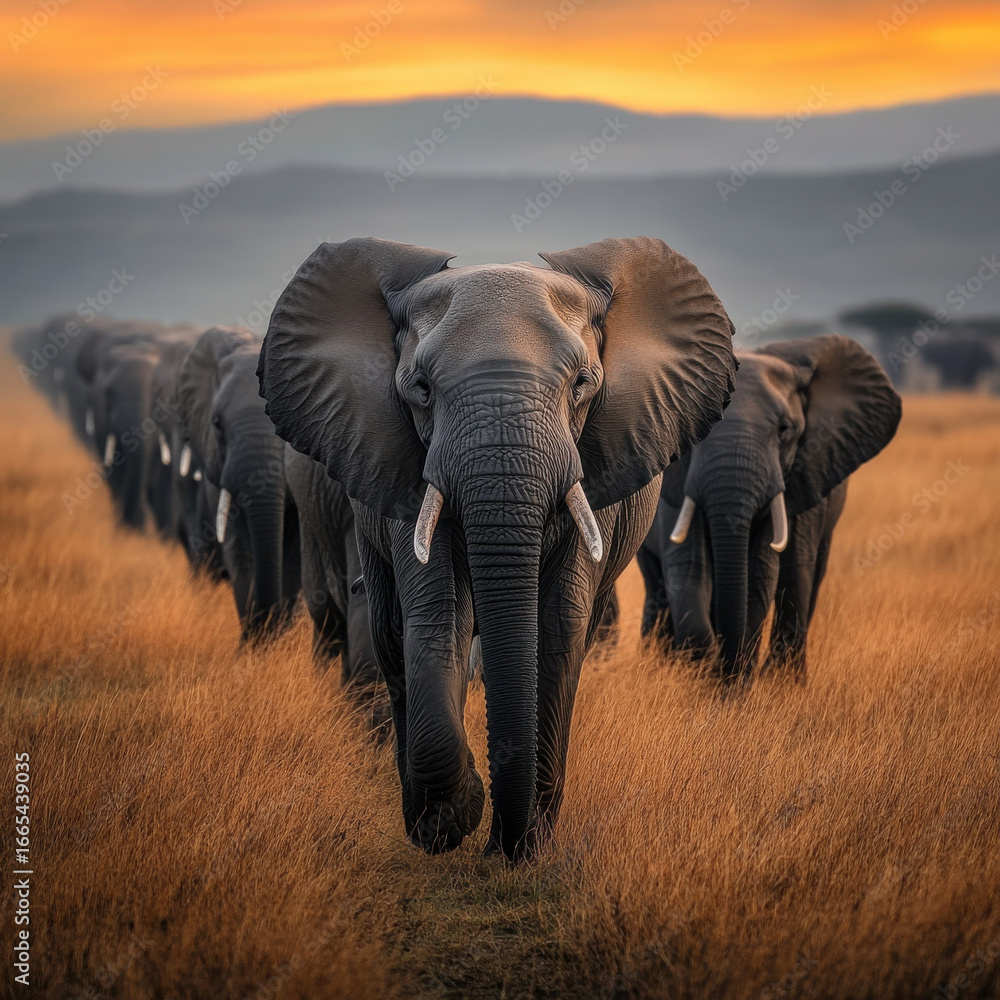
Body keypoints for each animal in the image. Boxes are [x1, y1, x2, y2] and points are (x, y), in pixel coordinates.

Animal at [257, 236, 737, 860]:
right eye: (421, 388)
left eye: (583, 384)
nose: (501, 842)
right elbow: (438, 613)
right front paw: (452, 819)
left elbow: (557, 626)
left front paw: (522, 848)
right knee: (390, 632)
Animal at [638, 335, 902, 682]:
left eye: (784, 430)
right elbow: (689, 570)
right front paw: (703, 675)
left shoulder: (804, 472)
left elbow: (763, 573)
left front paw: (735, 682)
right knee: (656, 584)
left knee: (802, 579)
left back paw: (785, 680)